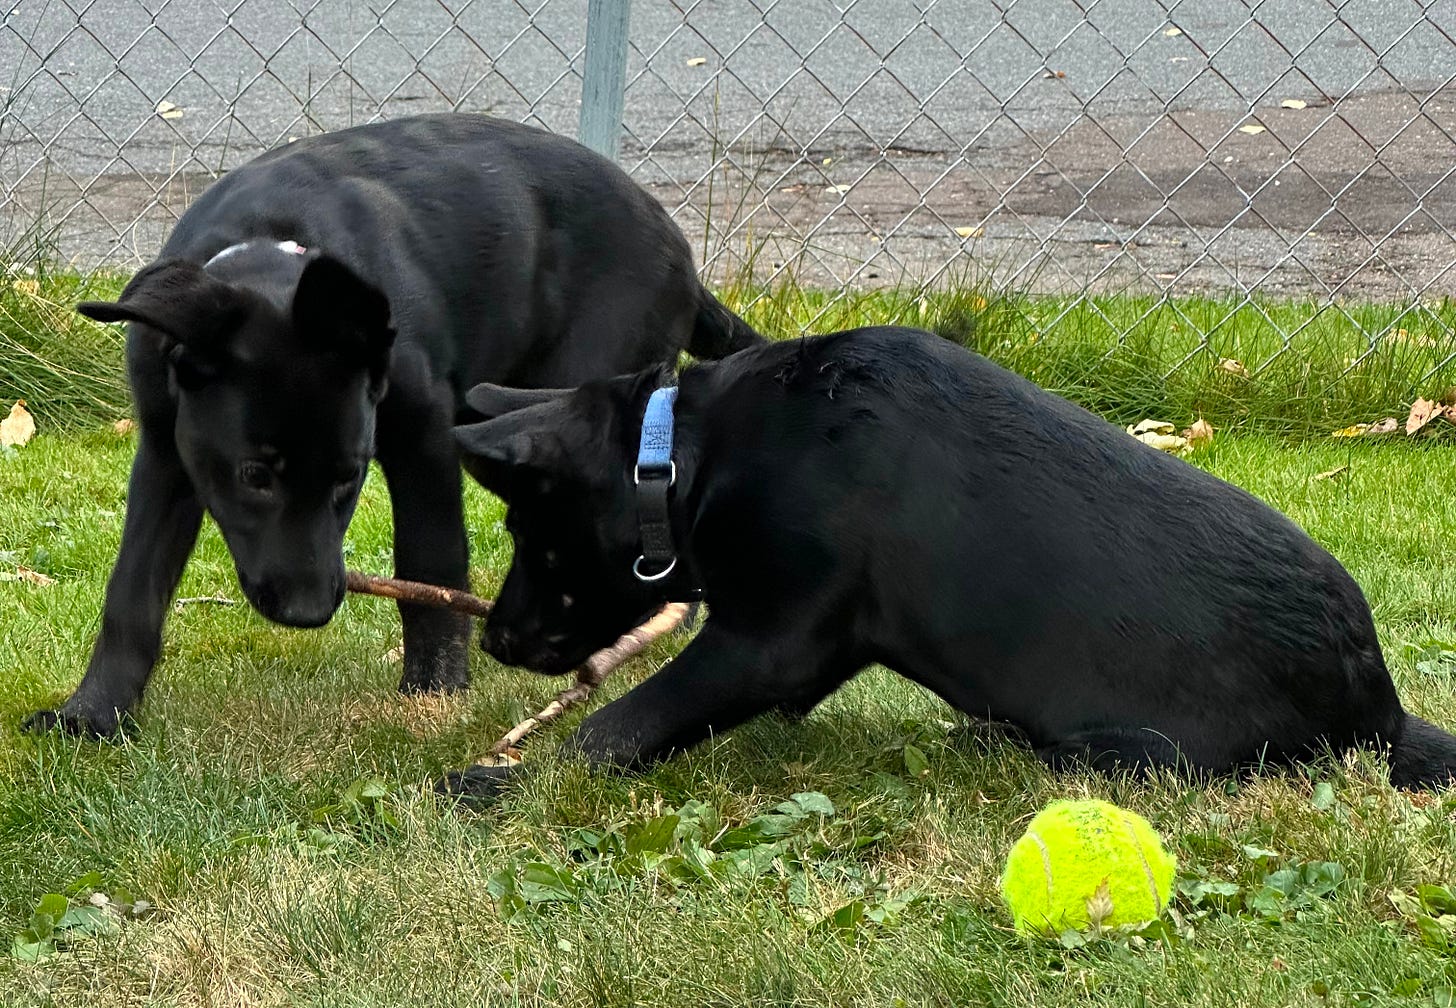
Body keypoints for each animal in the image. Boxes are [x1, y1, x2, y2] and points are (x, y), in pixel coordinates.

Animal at [25, 114, 762, 737]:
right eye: (255, 475)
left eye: (348, 477)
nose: (308, 612)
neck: (270, 255)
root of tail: (681, 256)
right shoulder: (165, 450)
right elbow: (133, 589)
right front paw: (92, 715)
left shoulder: (421, 438)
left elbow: (431, 561)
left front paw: (434, 695)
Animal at [448, 323, 1456, 798]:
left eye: (528, 532)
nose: (493, 641)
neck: (684, 453)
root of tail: (1380, 708)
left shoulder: (765, 642)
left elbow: (619, 727)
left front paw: (502, 785)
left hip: (1131, 754)